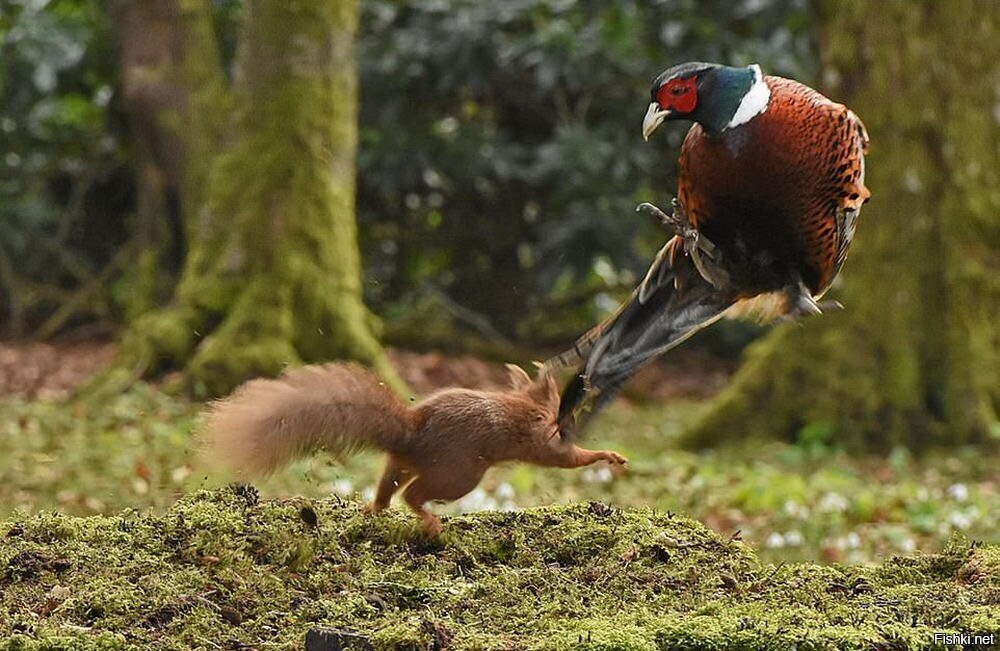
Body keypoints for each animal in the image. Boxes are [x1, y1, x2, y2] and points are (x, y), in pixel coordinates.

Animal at [203, 362, 624, 536]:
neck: (530, 404)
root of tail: (412, 434)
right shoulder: (544, 442)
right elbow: (568, 459)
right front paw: (608, 456)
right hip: (459, 475)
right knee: (412, 495)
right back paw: (429, 520)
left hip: (401, 463)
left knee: (388, 490)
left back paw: (373, 509)